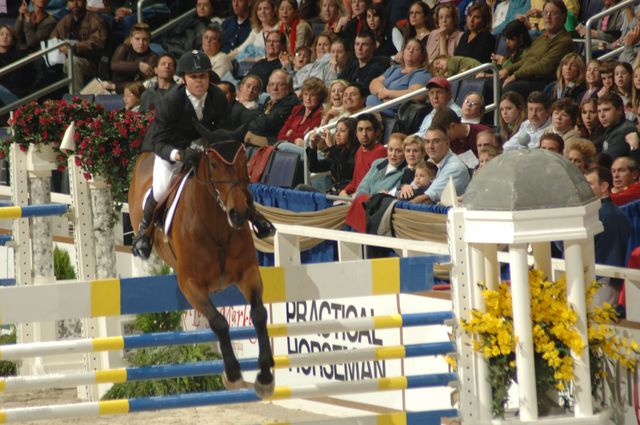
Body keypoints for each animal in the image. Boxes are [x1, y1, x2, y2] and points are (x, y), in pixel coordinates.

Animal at [129, 123, 274, 398]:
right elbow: (219, 322)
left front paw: (265, 376)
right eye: (214, 165)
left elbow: (259, 313)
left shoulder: (248, 273)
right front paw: (233, 375)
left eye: (244, 161)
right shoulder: (191, 285)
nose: (239, 214)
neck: (216, 227)